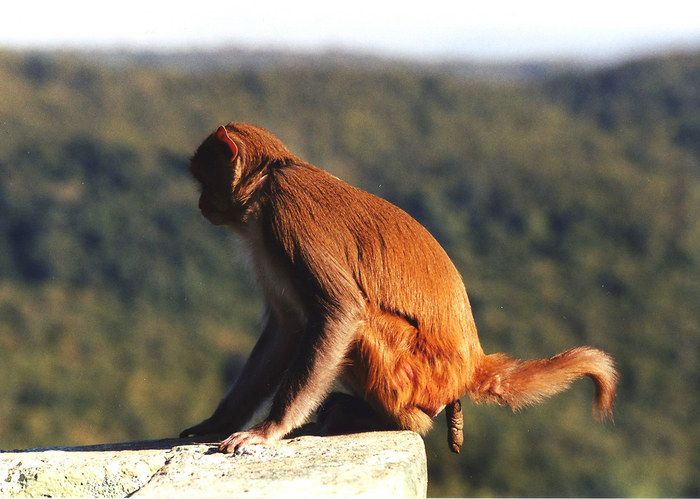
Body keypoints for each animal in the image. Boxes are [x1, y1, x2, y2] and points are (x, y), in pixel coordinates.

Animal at [180, 123, 616, 456]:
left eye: (204, 179)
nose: (200, 204)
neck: (269, 180)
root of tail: (472, 362)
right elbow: (287, 328)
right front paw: (219, 420)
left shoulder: (287, 216)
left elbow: (340, 312)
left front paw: (268, 428)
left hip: (415, 372)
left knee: (363, 325)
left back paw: (390, 418)